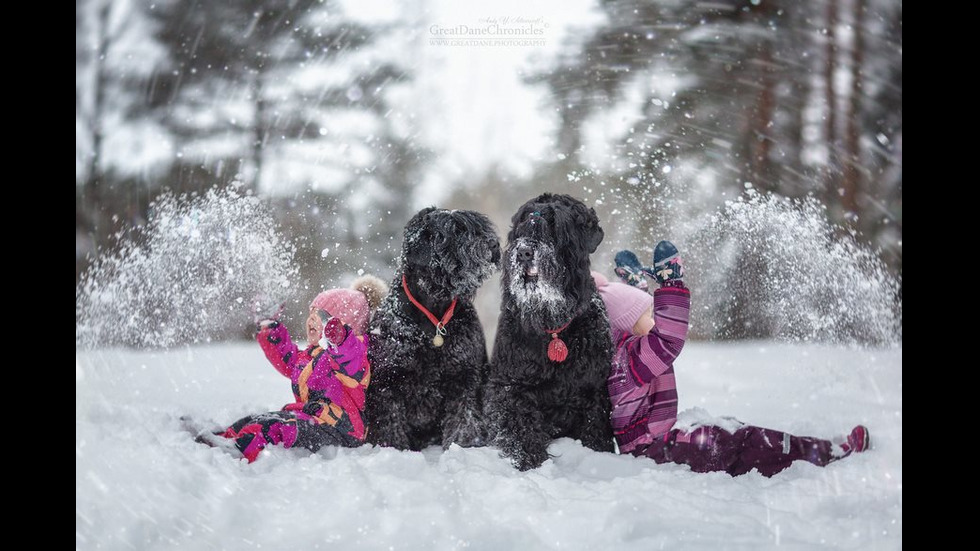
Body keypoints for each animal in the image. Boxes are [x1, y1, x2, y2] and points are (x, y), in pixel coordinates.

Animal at [368, 207, 506, 452]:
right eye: (456, 230)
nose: (492, 244)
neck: (433, 314)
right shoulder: (389, 379)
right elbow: (390, 422)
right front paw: (394, 448)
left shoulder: (464, 374)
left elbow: (464, 416)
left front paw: (464, 445)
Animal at [484, 193, 612, 470]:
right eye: (520, 227)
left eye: (556, 228)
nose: (523, 252)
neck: (553, 328)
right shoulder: (512, 387)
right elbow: (521, 427)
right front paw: (531, 461)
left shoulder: (593, 391)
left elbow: (596, 431)